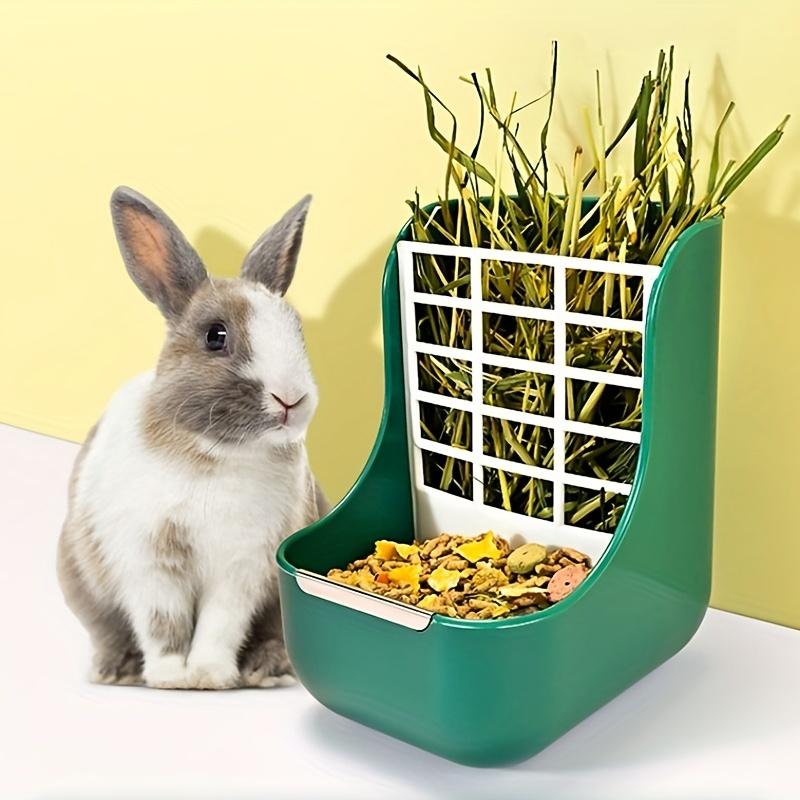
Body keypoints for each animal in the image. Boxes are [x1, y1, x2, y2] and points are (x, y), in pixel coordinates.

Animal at [57, 186, 329, 690]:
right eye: (215, 336)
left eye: (297, 331)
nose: (292, 398)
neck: (215, 454)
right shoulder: (149, 562)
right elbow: (162, 622)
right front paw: (169, 677)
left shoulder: (241, 568)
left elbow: (220, 624)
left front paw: (206, 675)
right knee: (108, 631)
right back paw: (116, 671)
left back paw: (264, 671)